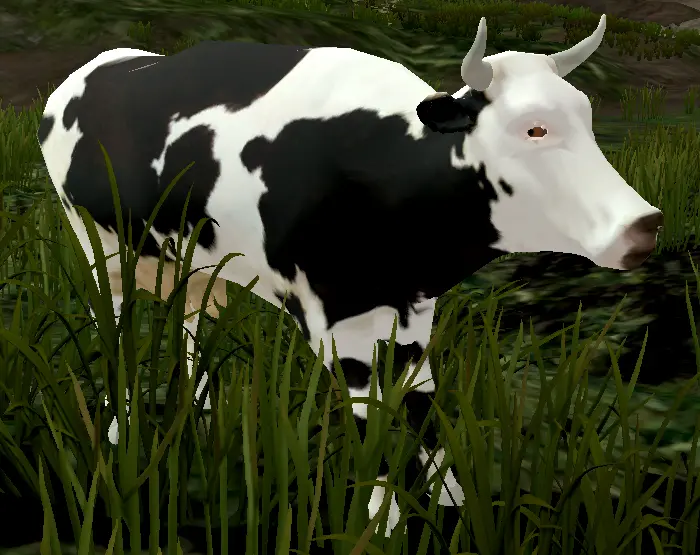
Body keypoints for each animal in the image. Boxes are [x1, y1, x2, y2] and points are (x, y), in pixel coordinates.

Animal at [38, 14, 663, 537]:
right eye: (533, 129)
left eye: (587, 117)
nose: (644, 225)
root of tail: (93, 67)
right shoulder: (338, 324)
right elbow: (372, 425)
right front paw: (381, 524)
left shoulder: (412, 316)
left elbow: (424, 413)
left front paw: (450, 509)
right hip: (98, 246)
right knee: (115, 328)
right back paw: (118, 432)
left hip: (192, 262)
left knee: (190, 322)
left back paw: (201, 417)